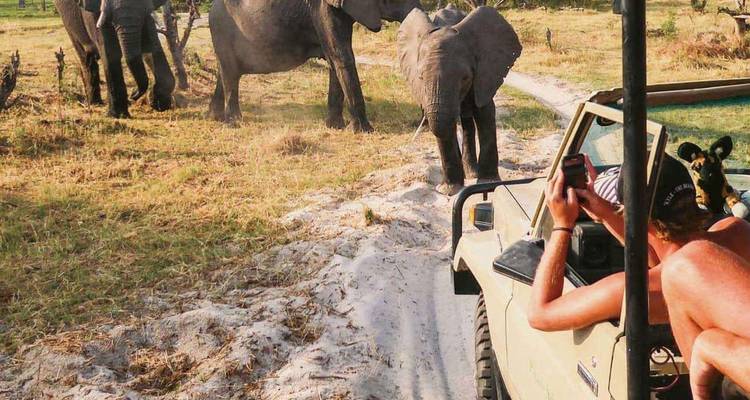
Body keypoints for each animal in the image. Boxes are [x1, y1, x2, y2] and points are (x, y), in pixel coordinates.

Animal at [207, 0, 422, 132]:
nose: (420, 121)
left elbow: (335, 61)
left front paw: (336, 127)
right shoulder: (322, 10)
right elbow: (342, 57)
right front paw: (365, 131)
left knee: (224, 73)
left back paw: (214, 117)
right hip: (222, 29)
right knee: (229, 75)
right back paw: (234, 123)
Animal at [397, 5, 522, 195]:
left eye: (465, 78)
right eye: (420, 77)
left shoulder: (486, 73)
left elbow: (485, 113)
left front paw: (488, 181)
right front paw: (449, 190)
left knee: (468, 121)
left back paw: (472, 173)